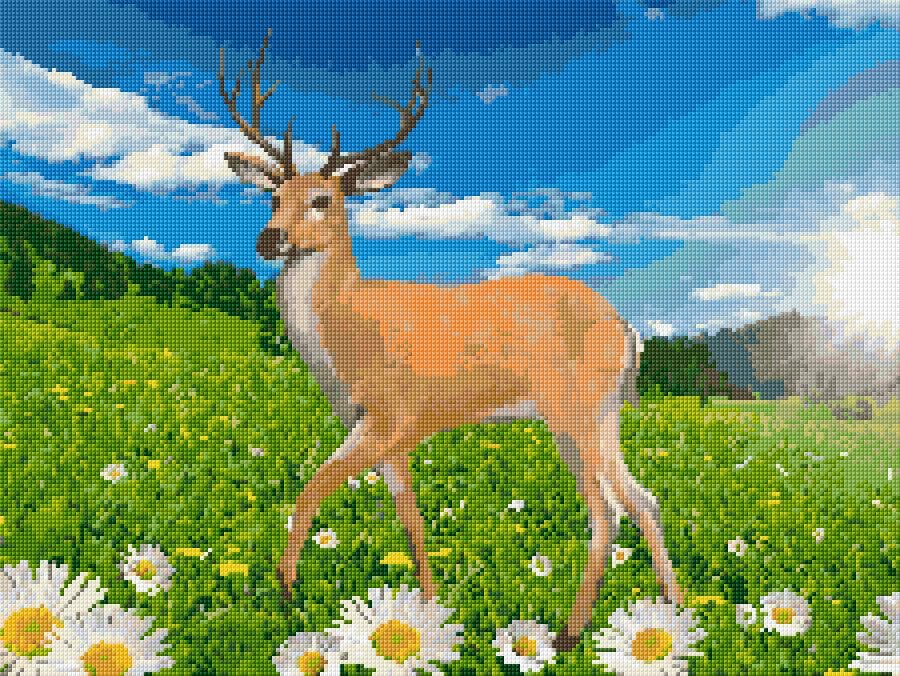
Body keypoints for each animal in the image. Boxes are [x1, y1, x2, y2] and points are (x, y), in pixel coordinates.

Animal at [219, 31, 684, 651]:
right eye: (273, 198)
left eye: (322, 200)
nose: (269, 240)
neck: (344, 333)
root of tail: (628, 330)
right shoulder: (378, 429)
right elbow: (411, 517)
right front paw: (430, 605)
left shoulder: (392, 414)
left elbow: (310, 490)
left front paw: (287, 594)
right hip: (598, 415)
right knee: (644, 501)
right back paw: (673, 613)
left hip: (575, 409)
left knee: (607, 510)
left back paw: (569, 634)